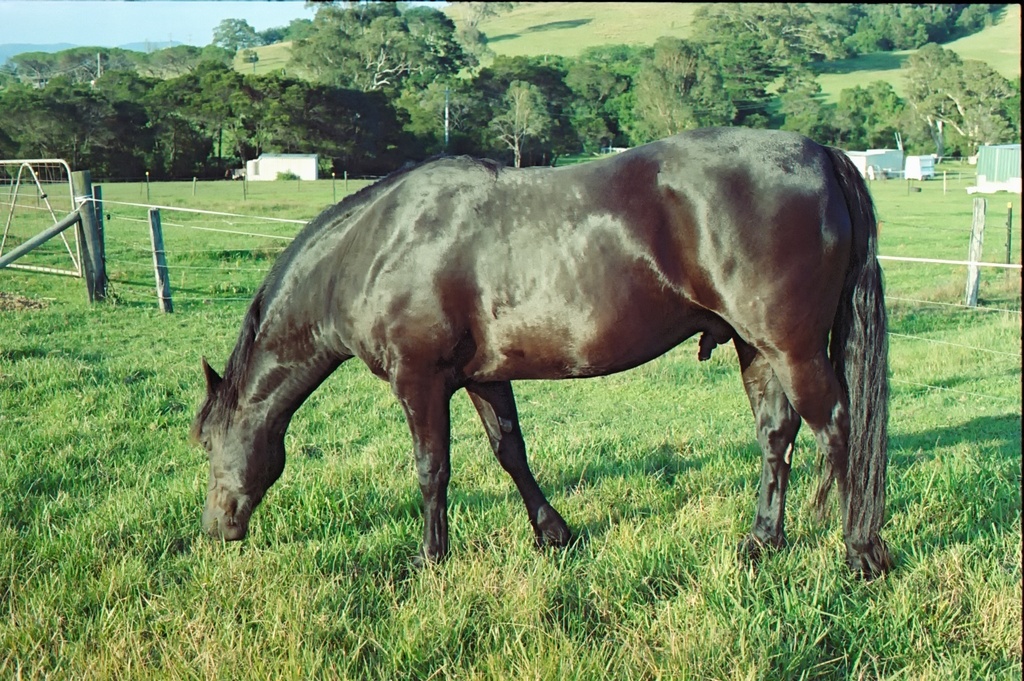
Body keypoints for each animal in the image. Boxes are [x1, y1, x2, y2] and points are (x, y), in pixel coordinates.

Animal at [188, 125, 892, 573]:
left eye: (208, 443)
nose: (215, 529)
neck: (379, 245)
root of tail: (822, 155)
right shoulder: (481, 377)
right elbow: (511, 453)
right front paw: (554, 534)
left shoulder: (420, 381)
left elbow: (432, 469)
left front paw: (430, 560)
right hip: (756, 348)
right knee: (778, 437)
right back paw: (763, 542)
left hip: (793, 349)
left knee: (838, 433)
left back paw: (860, 553)